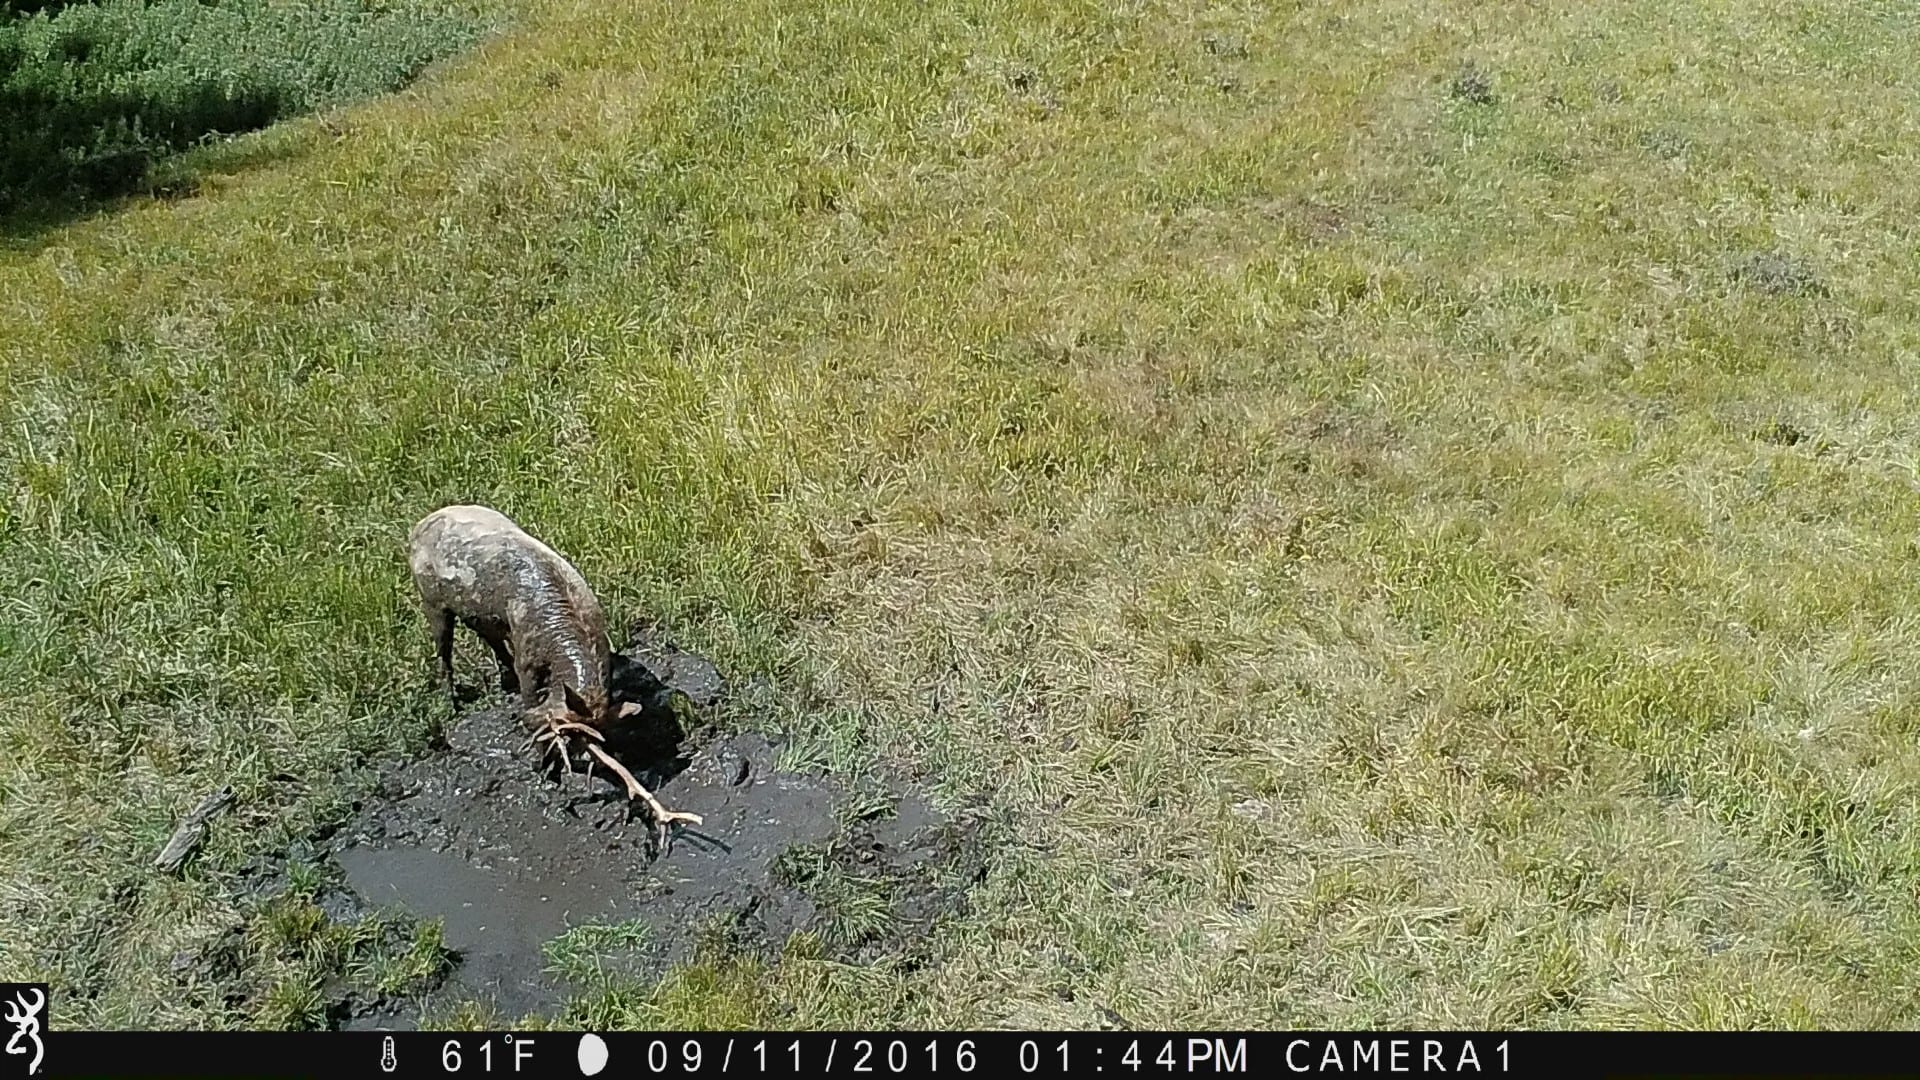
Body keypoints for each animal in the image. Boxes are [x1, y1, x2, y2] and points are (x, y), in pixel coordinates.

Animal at [408, 504, 702, 847]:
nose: (523, 721)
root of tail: (419, 525)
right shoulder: (526, 656)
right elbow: (527, 688)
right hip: (430, 598)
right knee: (443, 649)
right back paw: (453, 702)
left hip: (477, 615)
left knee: (488, 638)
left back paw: (500, 683)